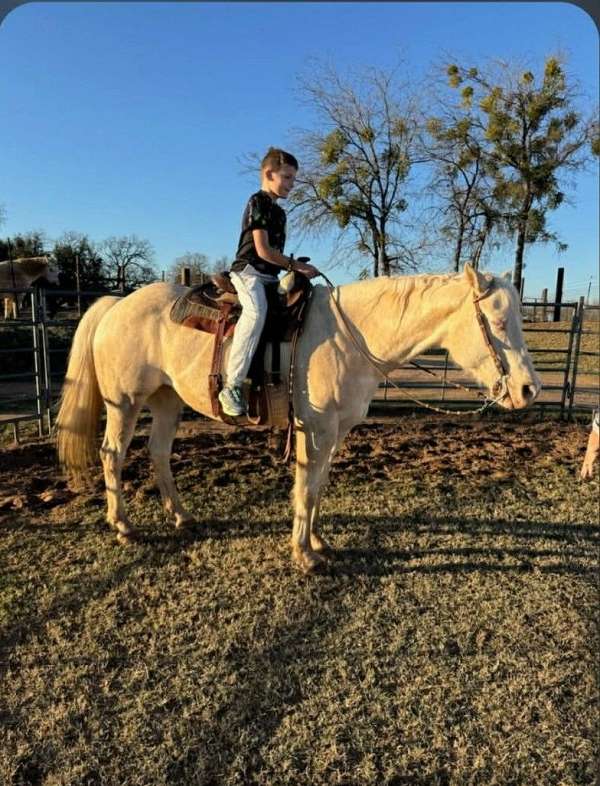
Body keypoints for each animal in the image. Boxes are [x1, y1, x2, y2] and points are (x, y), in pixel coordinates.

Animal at [56, 263, 541, 572]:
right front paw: (304, 555)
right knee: (113, 454)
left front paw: (318, 542)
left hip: (166, 401)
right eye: (498, 322)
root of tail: (116, 304)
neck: (348, 335)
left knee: (158, 453)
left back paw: (182, 516)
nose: (529, 390)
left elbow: (319, 486)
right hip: (125, 402)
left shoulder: (336, 431)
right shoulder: (316, 429)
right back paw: (123, 526)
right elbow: (306, 488)